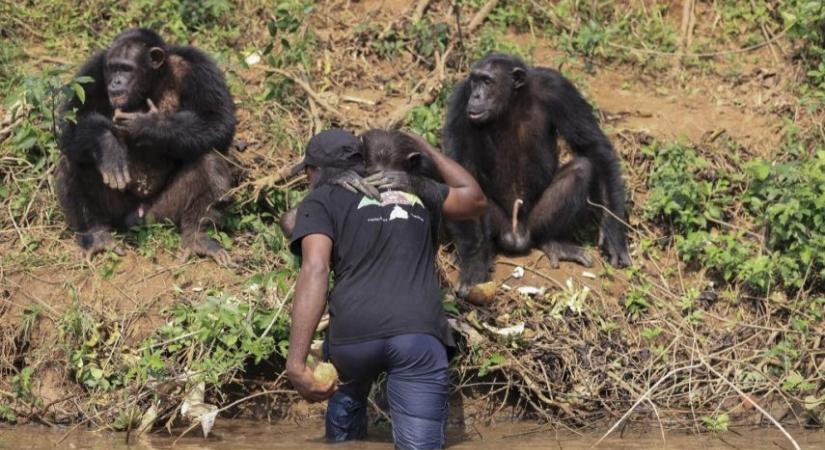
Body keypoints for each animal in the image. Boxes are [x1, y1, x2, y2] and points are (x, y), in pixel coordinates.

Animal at [55, 28, 235, 266]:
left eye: (126, 68)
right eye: (113, 68)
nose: (116, 82)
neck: (152, 82)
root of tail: (137, 215)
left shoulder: (200, 68)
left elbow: (218, 119)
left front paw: (147, 125)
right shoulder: (92, 71)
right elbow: (71, 123)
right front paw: (109, 145)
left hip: (163, 212)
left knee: (210, 159)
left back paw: (199, 236)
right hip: (117, 211)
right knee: (74, 160)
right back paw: (95, 235)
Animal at [444, 52, 632, 296]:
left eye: (487, 81)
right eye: (475, 81)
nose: (476, 95)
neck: (511, 101)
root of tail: (516, 236)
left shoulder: (559, 89)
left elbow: (593, 147)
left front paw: (613, 235)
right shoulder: (460, 98)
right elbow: (460, 173)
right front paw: (474, 265)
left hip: (535, 222)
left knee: (582, 168)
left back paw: (555, 243)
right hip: (500, 224)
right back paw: (482, 251)